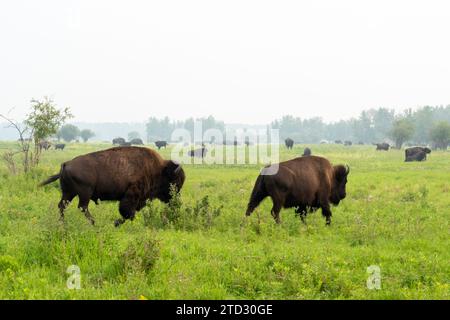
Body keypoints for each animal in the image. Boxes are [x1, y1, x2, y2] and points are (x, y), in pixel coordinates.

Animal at [39, 148, 185, 228]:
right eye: (174, 181)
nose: (176, 202)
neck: (158, 169)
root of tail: (66, 163)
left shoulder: (138, 200)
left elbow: (130, 214)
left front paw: (115, 223)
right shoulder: (131, 197)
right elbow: (128, 214)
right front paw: (115, 223)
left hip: (69, 193)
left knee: (62, 206)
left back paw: (62, 224)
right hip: (84, 193)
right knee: (82, 207)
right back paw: (94, 223)